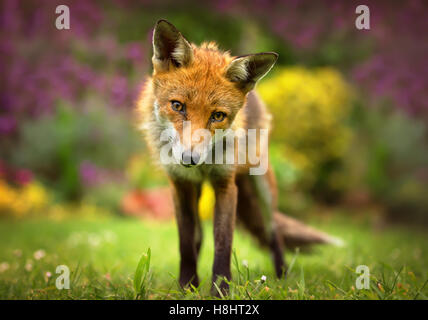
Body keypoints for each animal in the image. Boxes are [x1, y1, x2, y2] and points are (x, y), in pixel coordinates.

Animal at [139, 19, 340, 296]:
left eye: (217, 116)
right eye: (177, 106)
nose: (190, 158)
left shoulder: (226, 184)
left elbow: (223, 243)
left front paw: (220, 290)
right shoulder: (180, 184)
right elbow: (186, 242)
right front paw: (187, 286)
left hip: (263, 184)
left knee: (274, 231)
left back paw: (282, 276)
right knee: (199, 236)